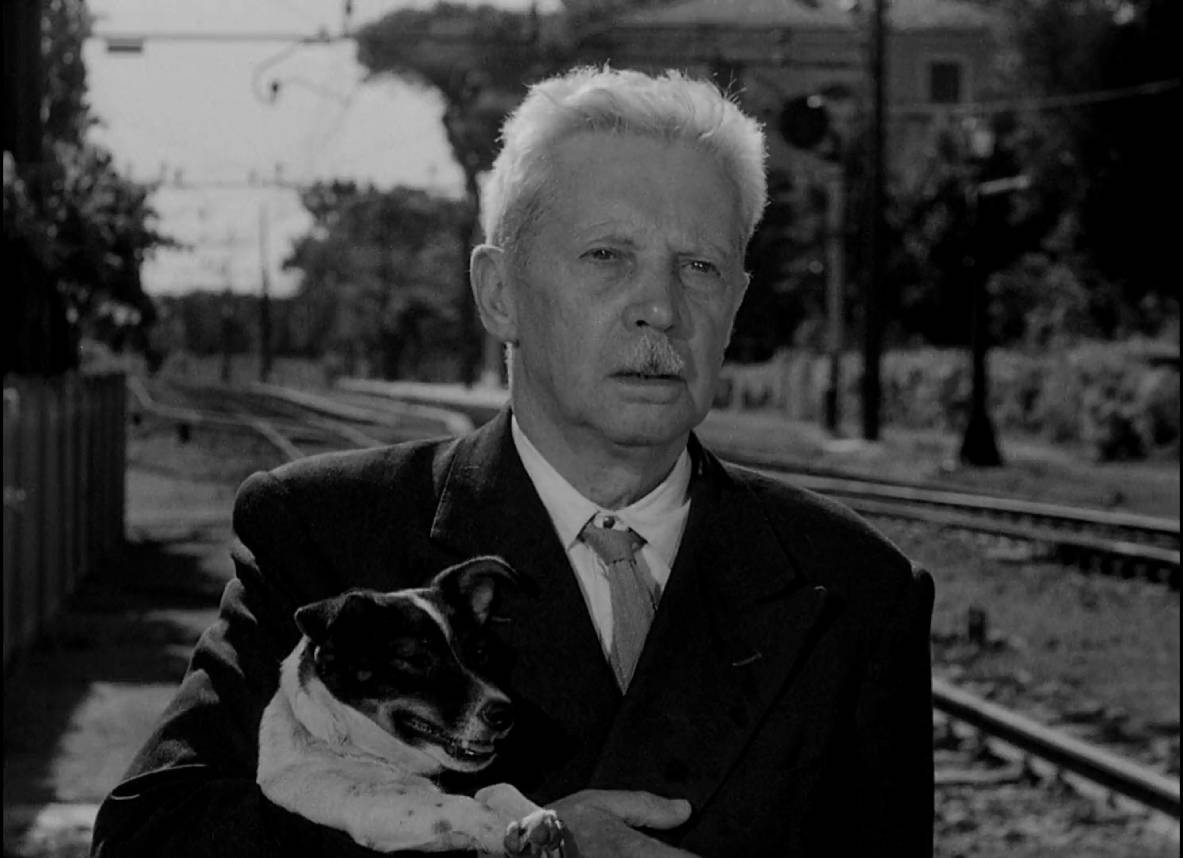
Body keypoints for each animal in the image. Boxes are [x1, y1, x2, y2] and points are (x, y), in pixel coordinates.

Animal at [257, 556, 565, 856]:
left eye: (480, 652)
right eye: (415, 659)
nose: (505, 715)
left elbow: (497, 789)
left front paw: (533, 819)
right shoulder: (370, 806)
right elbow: (451, 806)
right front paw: (504, 829)